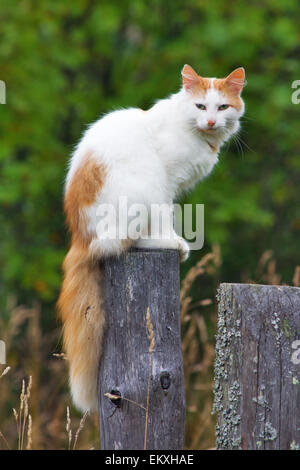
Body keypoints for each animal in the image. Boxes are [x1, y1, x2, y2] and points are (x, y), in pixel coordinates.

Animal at [57, 63, 245, 412]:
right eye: (201, 107)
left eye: (222, 107)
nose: (212, 121)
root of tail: (80, 236)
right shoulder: (166, 186)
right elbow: (165, 219)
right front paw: (172, 239)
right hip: (145, 187)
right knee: (125, 242)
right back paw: (170, 245)